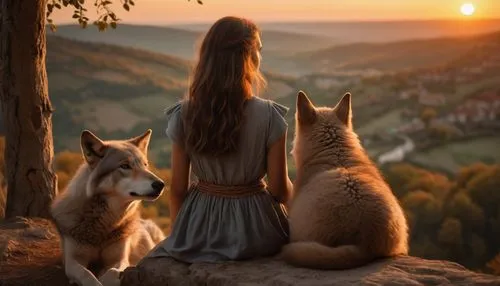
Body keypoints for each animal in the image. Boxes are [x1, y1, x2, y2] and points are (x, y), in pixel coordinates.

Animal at [52, 130, 167, 286]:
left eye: (145, 165)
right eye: (125, 166)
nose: (161, 184)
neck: (104, 224)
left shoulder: (120, 259)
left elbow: (112, 272)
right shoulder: (72, 261)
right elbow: (86, 274)